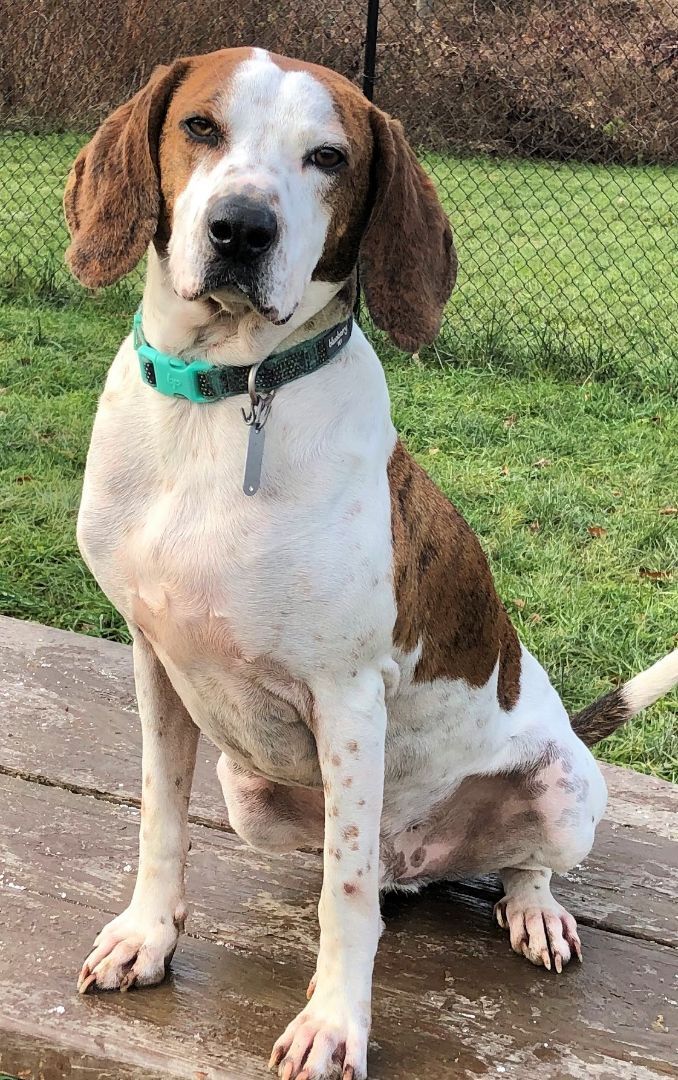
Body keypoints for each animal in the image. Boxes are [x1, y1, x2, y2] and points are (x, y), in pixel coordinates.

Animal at [64, 48, 678, 1080]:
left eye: (329, 157)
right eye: (199, 127)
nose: (241, 228)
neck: (225, 404)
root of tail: (418, 861)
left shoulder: (349, 700)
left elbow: (342, 903)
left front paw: (334, 1024)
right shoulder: (156, 663)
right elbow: (159, 822)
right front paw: (148, 936)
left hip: (565, 791)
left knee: (508, 864)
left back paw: (534, 910)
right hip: (247, 789)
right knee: (360, 867)